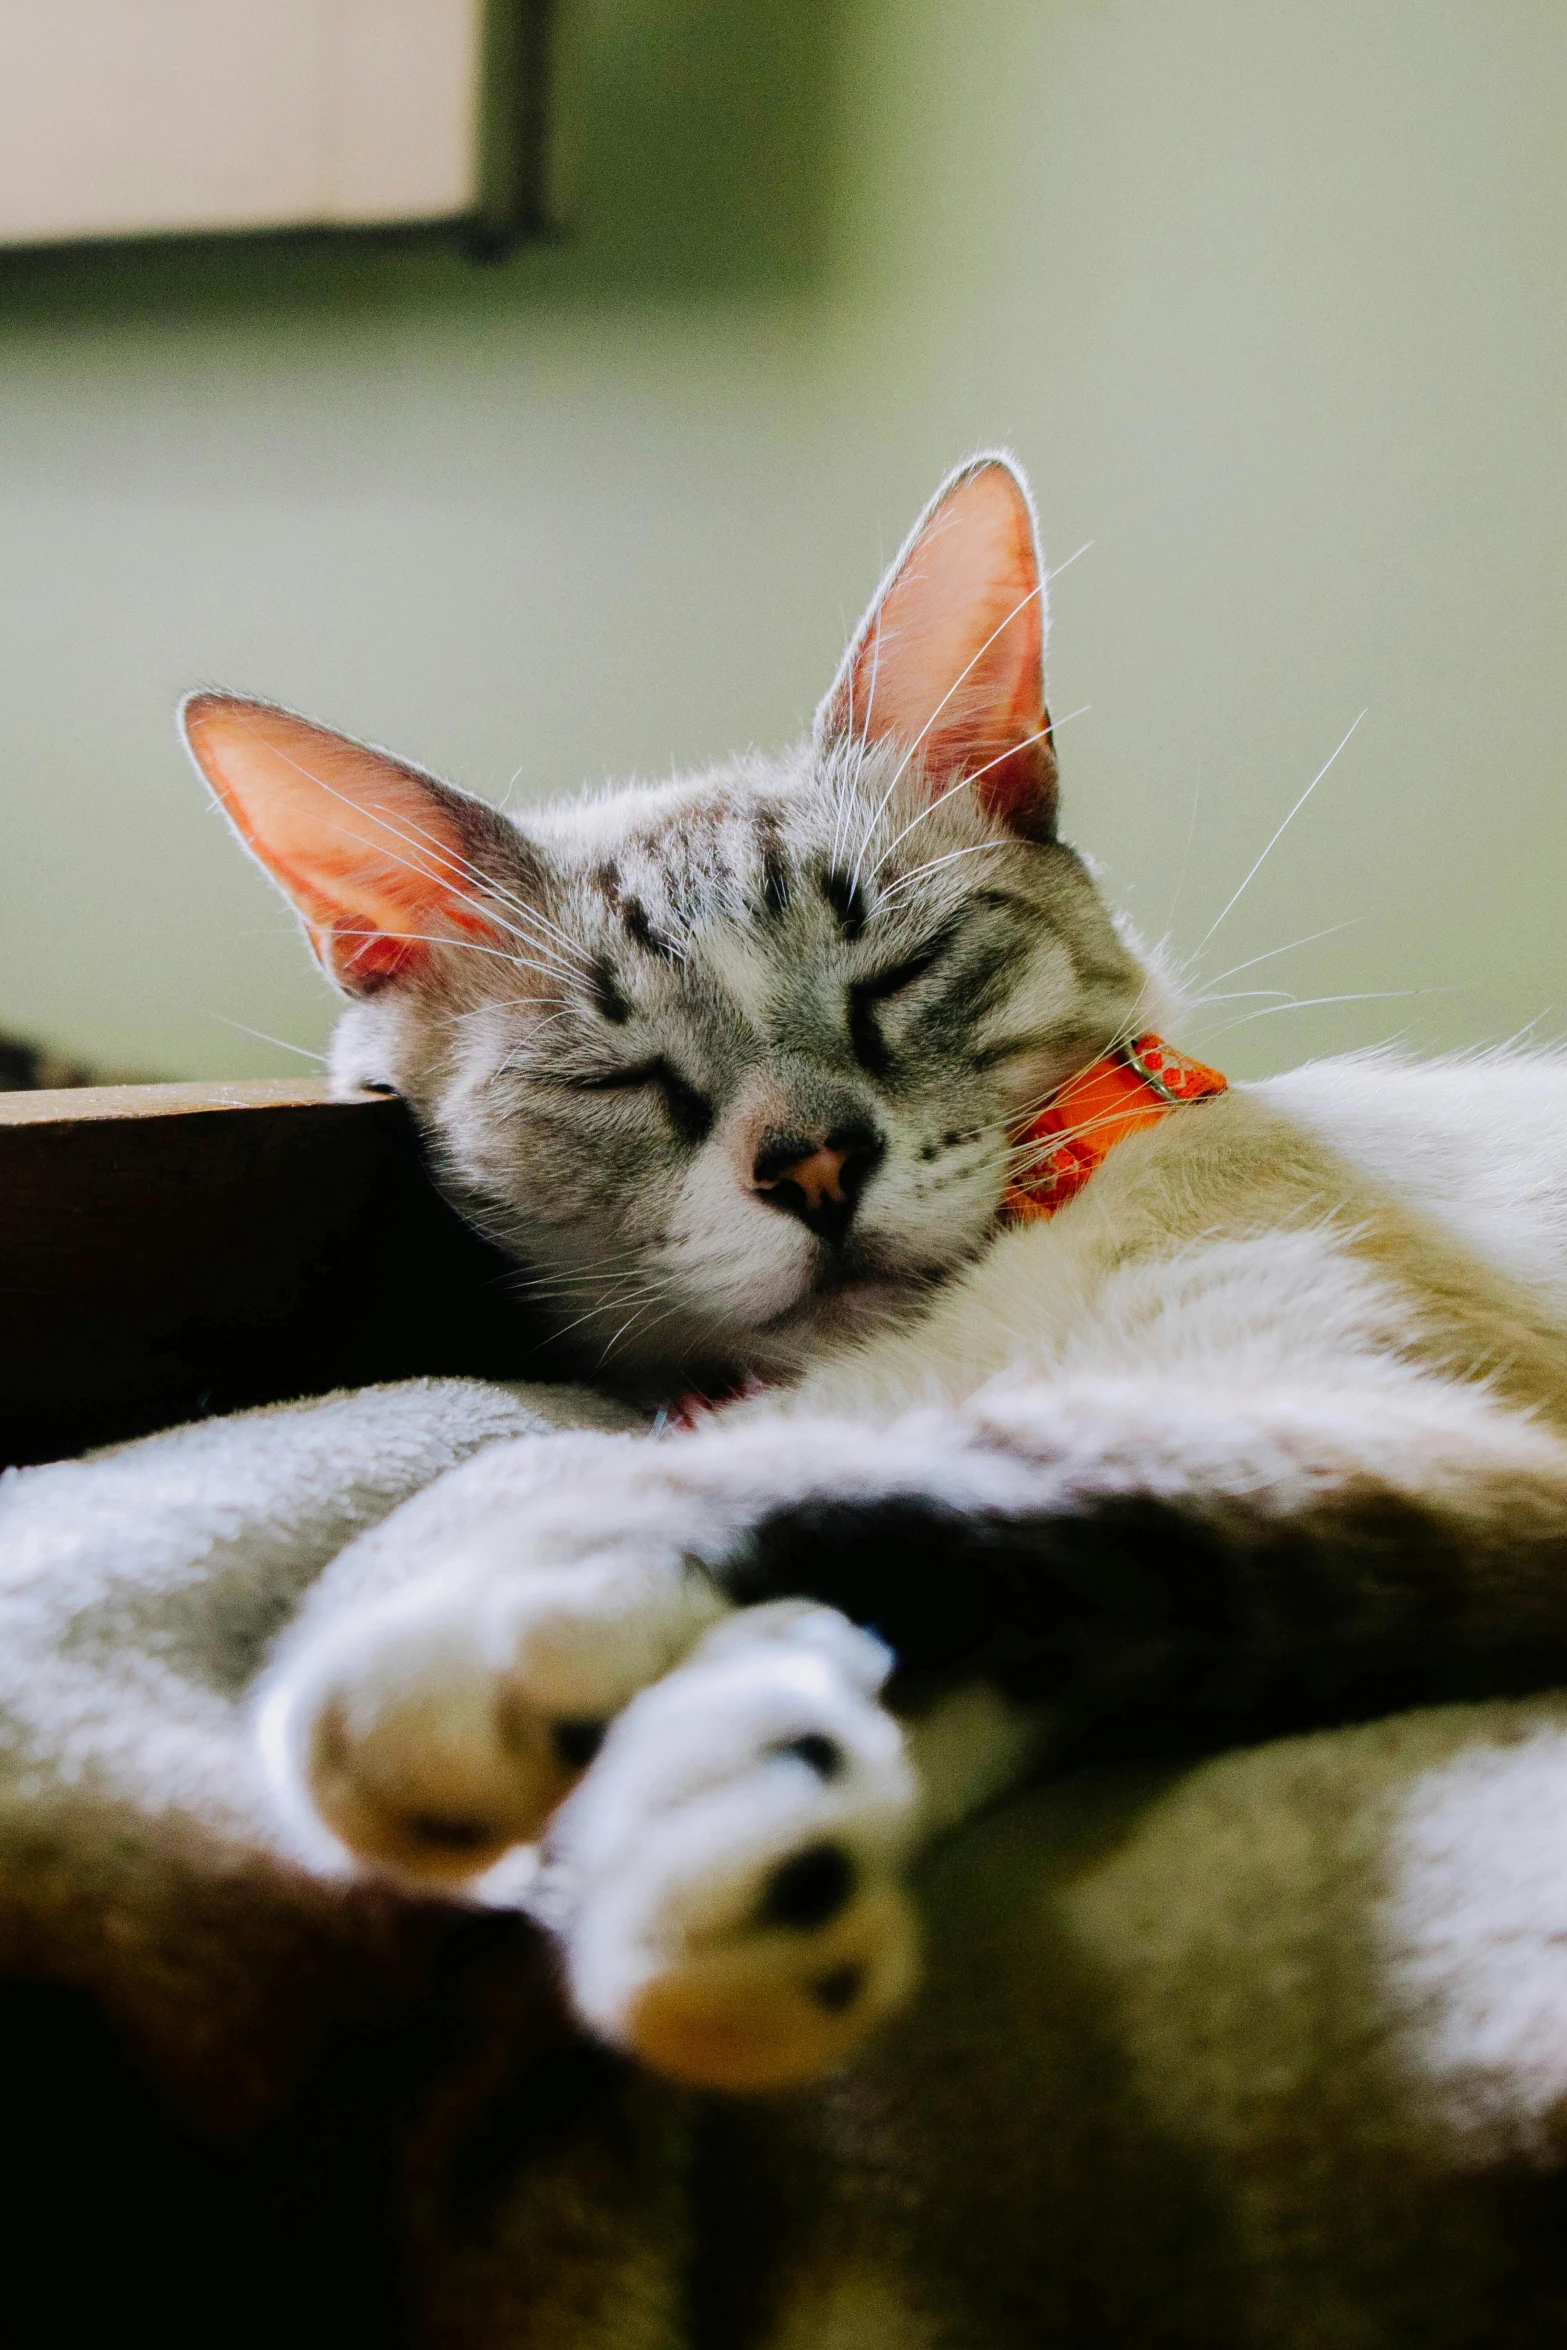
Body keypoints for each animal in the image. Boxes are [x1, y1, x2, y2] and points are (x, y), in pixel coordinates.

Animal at [180, 453, 1567, 2096]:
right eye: (620, 1075)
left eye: (896, 980)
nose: (815, 1166)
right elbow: (997, 1617)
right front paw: (733, 1839)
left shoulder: (1428, 1440)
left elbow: (960, 1472)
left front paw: (490, 1655)